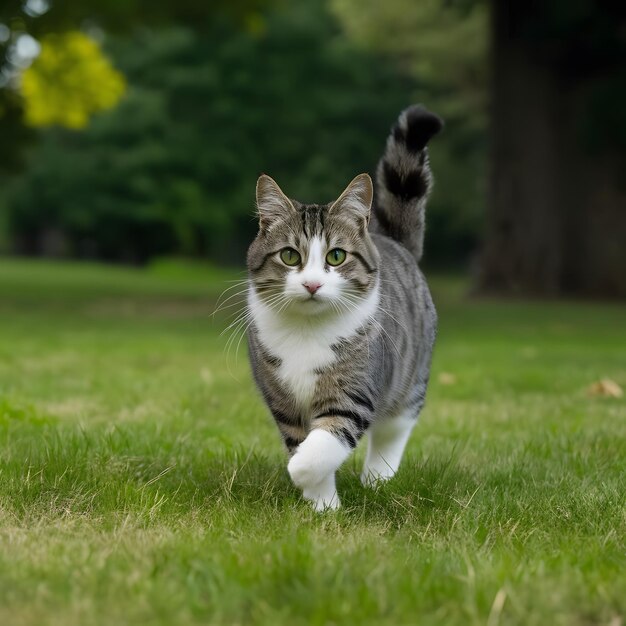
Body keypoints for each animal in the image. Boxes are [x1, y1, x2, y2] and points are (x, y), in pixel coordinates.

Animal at [246, 106, 442, 508]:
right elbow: (299, 440)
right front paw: (322, 505)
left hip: (411, 377)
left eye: (336, 256)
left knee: (393, 428)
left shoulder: (355, 387)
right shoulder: (282, 400)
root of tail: (390, 239)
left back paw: (378, 479)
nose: (312, 283)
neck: (307, 331)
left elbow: (327, 440)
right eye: (290, 256)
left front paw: (301, 473)